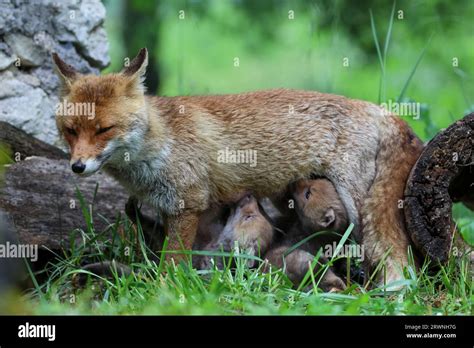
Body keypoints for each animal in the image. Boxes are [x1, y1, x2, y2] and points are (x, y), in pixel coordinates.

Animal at [53, 47, 424, 284]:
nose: (77, 167)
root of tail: (381, 109)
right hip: (289, 198)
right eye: (70, 130)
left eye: (104, 129)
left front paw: (164, 294)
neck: (159, 144)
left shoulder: (187, 204)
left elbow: (171, 264)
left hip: (359, 210)